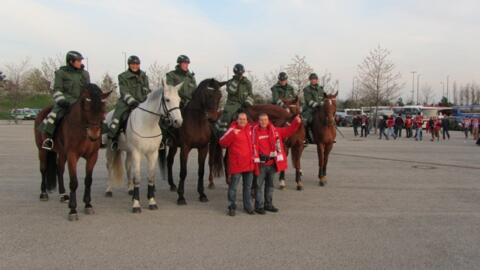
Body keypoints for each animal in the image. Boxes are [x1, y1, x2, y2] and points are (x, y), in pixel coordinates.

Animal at [35, 85, 111, 221]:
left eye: (103, 109)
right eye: (86, 107)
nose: (94, 134)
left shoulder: (93, 156)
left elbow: (88, 180)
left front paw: (88, 204)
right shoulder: (72, 155)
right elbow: (74, 182)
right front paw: (73, 210)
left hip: (62, 153)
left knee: (59, 169)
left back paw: (63, 195)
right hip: (42, 150)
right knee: (43, 169)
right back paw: (43, 193)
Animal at [104, 78, 183, 213]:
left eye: (179, 99)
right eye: (167, 99)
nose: (178, 122)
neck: (148, 124)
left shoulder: (152, 153)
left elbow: (150, 177)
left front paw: (152, 201)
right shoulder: (137, 153)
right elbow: (137, 178)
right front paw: (136, 204)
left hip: (129, 152)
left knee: (128, 167)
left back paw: (130, 189)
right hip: (111, 149)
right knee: (109, 167)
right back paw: (109, 190)